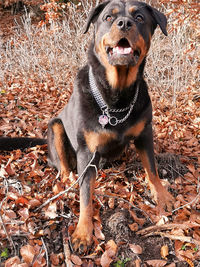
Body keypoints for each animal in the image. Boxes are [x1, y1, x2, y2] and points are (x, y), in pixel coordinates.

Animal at [0, 0, 174, 255]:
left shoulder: (145, 134)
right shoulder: (86, 151)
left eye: (140, 18)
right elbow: (85, 196)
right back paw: (66, 180)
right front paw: (83, 231)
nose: (124, 23)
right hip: (55, 127)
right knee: (64, 169)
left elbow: (151, 169)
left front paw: (162, 196)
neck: (116, 97)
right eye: (109, 17)